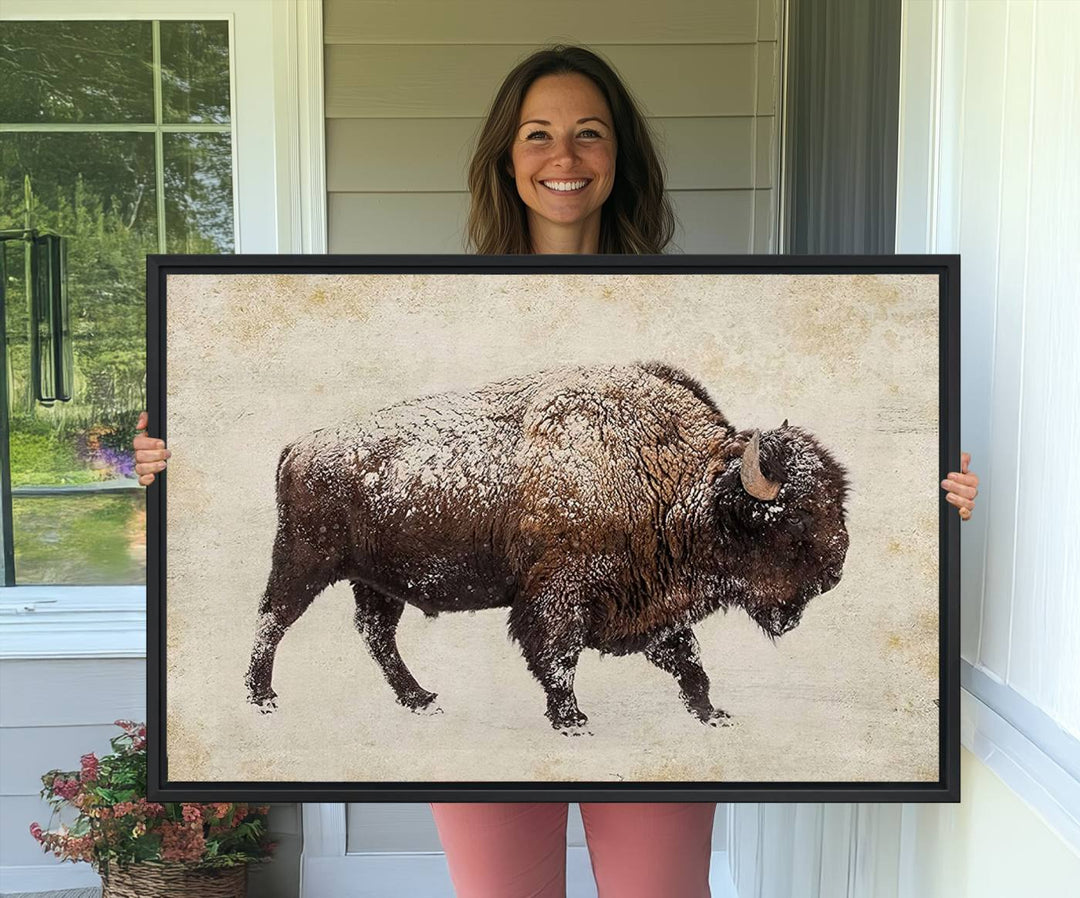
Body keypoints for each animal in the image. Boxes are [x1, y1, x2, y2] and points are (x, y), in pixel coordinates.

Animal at [245, 360, 851, 734]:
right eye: (794, 519)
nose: (835, 572)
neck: (677, 481)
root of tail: (297, 446)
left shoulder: (655, 604)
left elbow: (689, 663)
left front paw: (712, 713)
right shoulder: (558, 595)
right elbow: (558, 658)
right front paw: (571, 720)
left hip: (376, 582)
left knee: (377, 636)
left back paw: (421, 700)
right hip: (303, 563)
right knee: (272, 620)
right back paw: (261, 698)